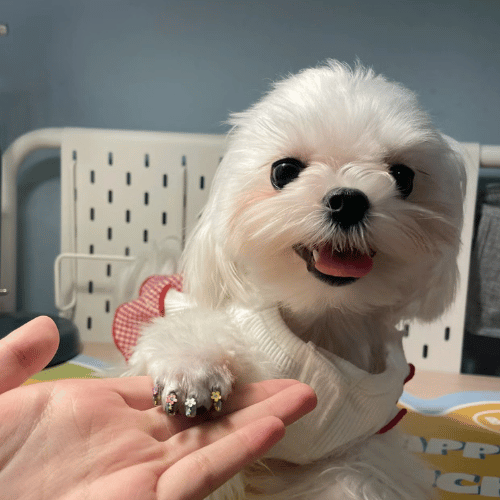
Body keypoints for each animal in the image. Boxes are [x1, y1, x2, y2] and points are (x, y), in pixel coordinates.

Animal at [124, 60, 464, 498]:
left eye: (403, 176)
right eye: (284, 171)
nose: (348, 200)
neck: (324, 320)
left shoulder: (362, 441)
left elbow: (357, 478)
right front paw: (192, 371)